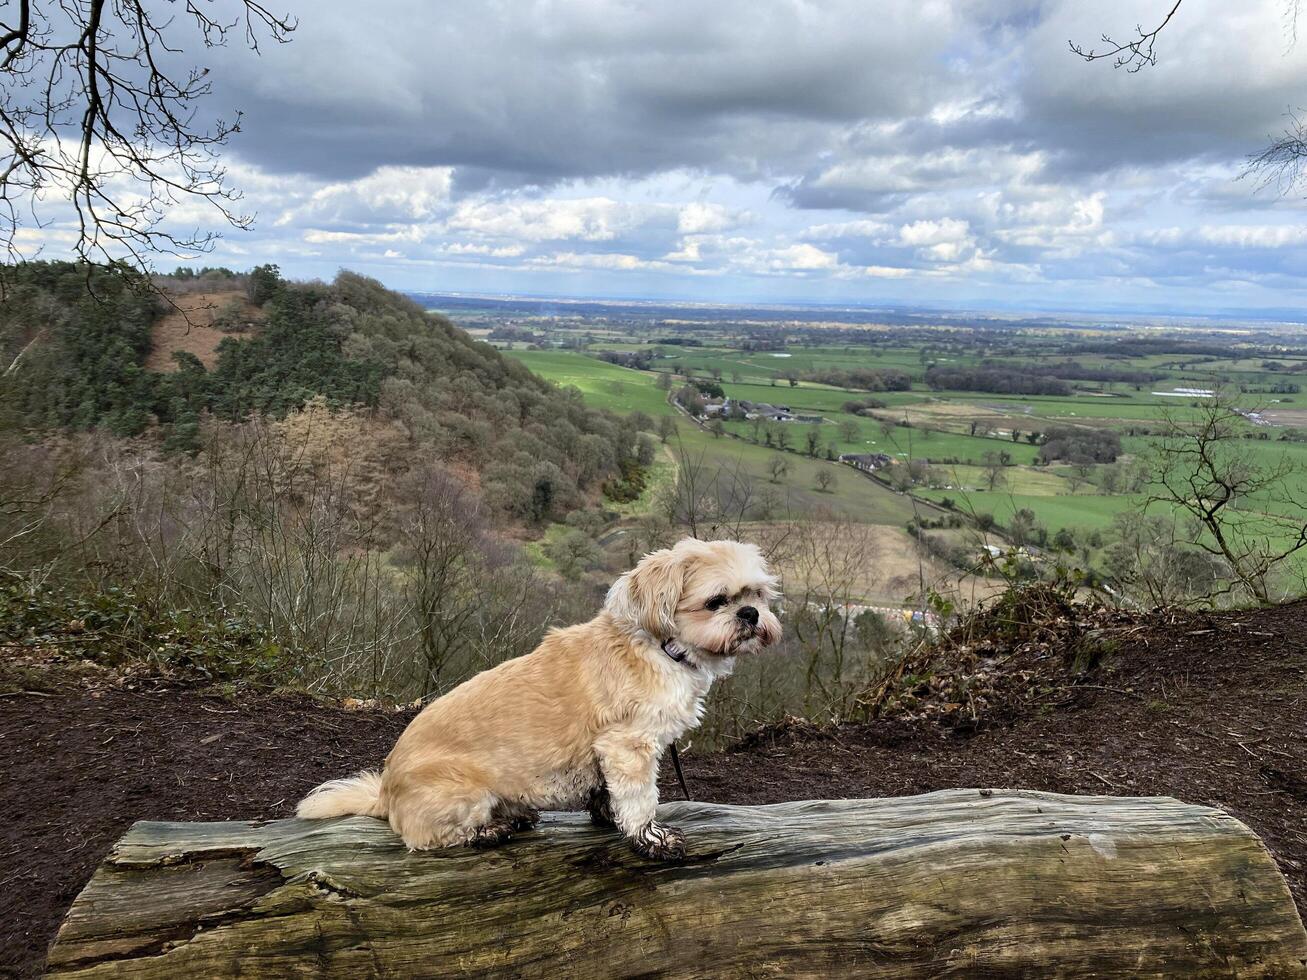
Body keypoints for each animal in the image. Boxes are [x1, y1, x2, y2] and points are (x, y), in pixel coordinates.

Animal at [296, 538, 778, 857]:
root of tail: (385, 793)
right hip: (463, 793)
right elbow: (640, 799)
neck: (660, 647)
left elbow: (607, 795)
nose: (751, 614)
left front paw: (608, 817)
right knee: (430, 838)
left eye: (757, 593)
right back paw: (492, 830)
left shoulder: (606, 755)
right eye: (716, 601)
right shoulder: (628, 747)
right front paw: (651, 837)